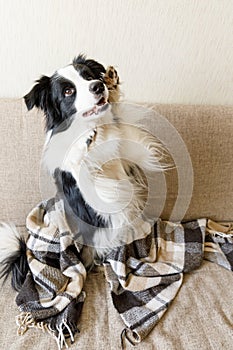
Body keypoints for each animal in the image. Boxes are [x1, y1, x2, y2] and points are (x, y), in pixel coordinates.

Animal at [0, 54, 165, 290]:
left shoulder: (127, 154)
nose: (98, 86)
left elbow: (121, 128)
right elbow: (85, 168)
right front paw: (84, 145)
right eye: (68, 91)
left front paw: (112, 85)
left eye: (88, 76)